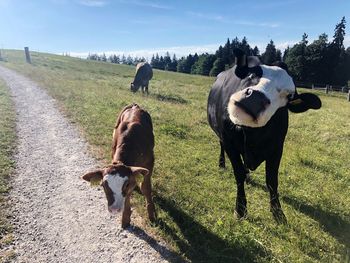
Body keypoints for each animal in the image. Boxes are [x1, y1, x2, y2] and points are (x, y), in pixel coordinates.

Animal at [206, 49, 322, 223]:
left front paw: (278, 213)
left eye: (289, 96)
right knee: (221, 147)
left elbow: (272, 181)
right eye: (252, 75)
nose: (255, 99)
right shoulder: (229, 143)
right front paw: (240, 209)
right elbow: (238, 174)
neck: (252, 134)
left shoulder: (277, 148)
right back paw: (222, 164)